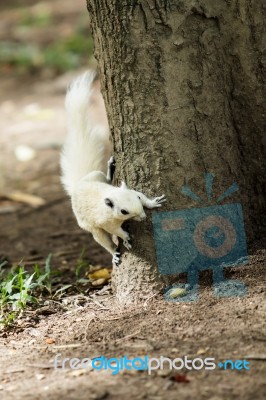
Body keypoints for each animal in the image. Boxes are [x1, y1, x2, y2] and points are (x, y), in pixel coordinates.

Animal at [60, 72, 166, 266]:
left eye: (137, 198)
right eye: (123, 211)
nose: (142, 217)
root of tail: (76, 188)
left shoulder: (134, 191)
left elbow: (145, 198)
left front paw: (153, 202)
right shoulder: (106, 221)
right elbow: (116, 231)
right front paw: (126, 238)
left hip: (95, 175)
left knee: (105, 178)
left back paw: (110, 168)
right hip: (90, 227)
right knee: (103, 241)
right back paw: (114, 254)